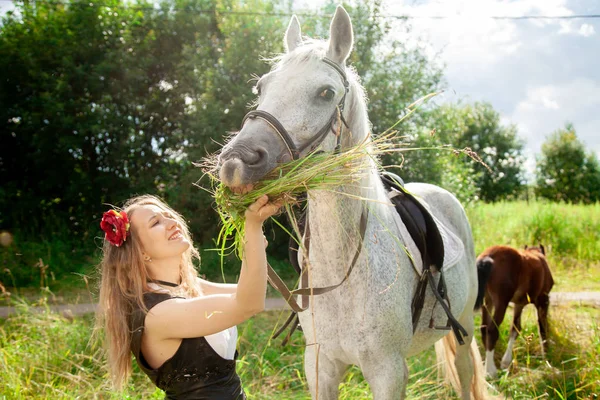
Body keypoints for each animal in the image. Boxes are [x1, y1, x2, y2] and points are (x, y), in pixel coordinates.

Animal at [218, 6, 490, 400]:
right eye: (262, 87)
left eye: (325, 92)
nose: (235, 162)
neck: (345, 267)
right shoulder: (321, 367)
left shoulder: (388, 372)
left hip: (465, 327)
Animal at [476, 244, 556, 378]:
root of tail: (487, 257)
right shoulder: (543, 300)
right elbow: (542, 328)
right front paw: (546, 356)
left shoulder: (519, 304)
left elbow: (515, 328)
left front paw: (506, 362)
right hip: (501, 301)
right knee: (492, 330)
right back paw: (490, 371)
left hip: (487, 300)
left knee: (484, 328)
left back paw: (486, 367)